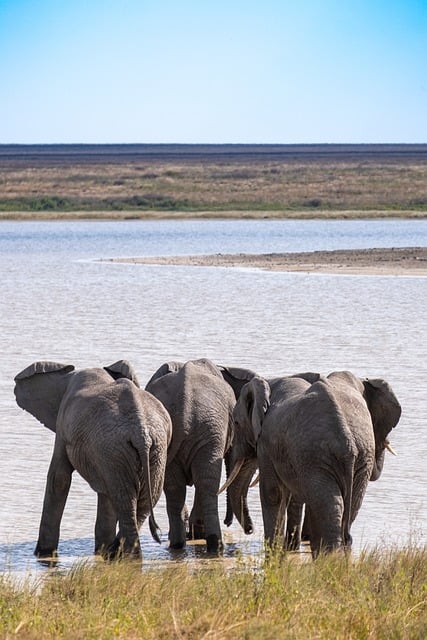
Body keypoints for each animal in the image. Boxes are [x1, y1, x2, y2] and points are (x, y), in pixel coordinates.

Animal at [14, 359, 172, 560]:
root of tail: (140, 431)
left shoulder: (63, 426)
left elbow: (59, 479)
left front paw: (43, 553)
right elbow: (102, 493)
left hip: (116, 448)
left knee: (124, 499)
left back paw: (121, 554)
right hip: (152, 450)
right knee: (142, 500)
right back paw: (116, 553)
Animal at [145, 358, 256, 552]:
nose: (250, 530)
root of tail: (184, 405)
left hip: (202, 431)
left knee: (181, 487)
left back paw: (180, 544)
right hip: (210, 430)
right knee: (205, 483)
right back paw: (210, 544)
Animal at [223, 370, 401, 558]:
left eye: (236, 423)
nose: (250, 530)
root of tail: (347, 441)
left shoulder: (266, 443)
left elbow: (272, 493)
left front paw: (273, 555)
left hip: (316, 457)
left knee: (328, 503)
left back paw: (329, 559)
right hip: (359, 456)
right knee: (348, 504)